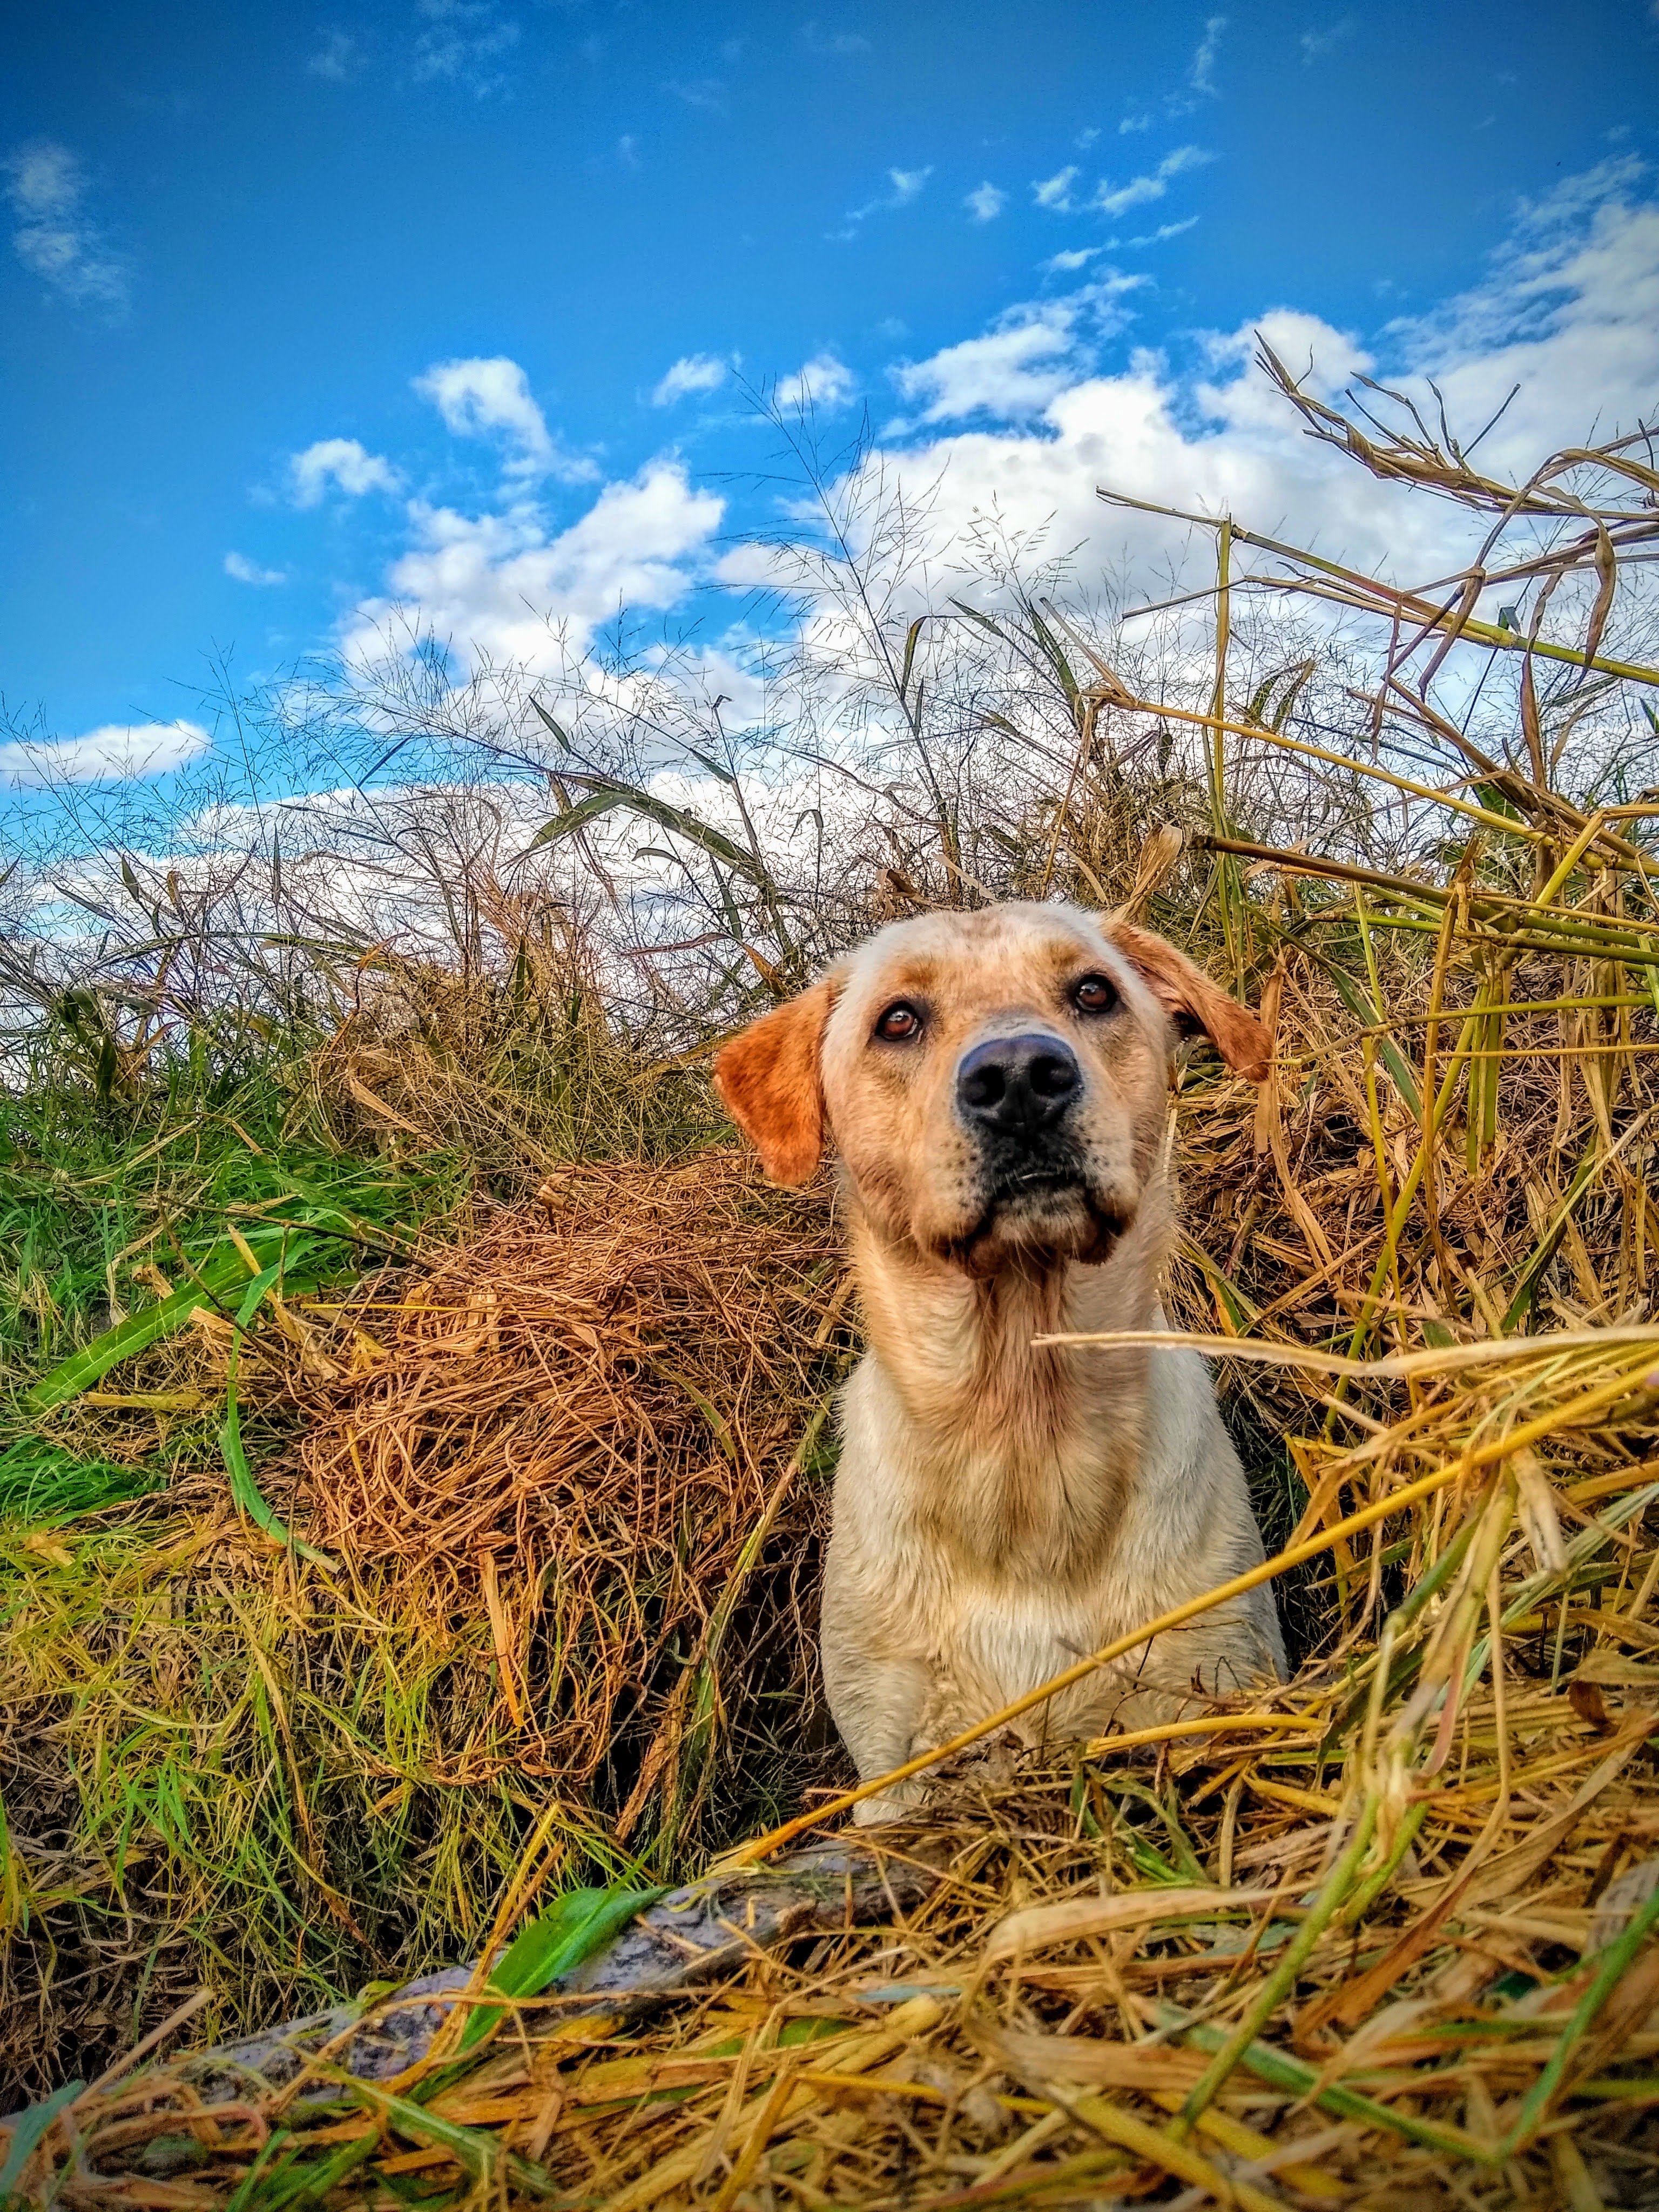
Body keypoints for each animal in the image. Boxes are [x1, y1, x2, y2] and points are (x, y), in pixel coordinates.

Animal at [717, 898, 1283, 1813]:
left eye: (1093, 992)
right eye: (898, 1020)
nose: (1020, 1077)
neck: (1025, 1435)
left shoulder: (1218, 1675)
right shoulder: (897, 1763)